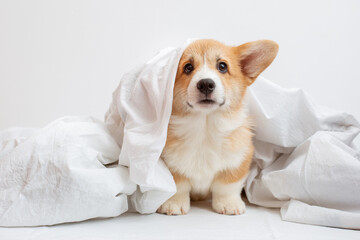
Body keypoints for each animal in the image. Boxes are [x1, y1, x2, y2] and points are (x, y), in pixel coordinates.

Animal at [158, 39, 278, 216]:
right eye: (188, 67)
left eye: (222, 66)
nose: (206, 84)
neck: (205, 128)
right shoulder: (170, 163)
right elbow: (178, 186)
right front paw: (173, 203)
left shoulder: (238, 161)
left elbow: (226, 186)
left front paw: (229, 204)